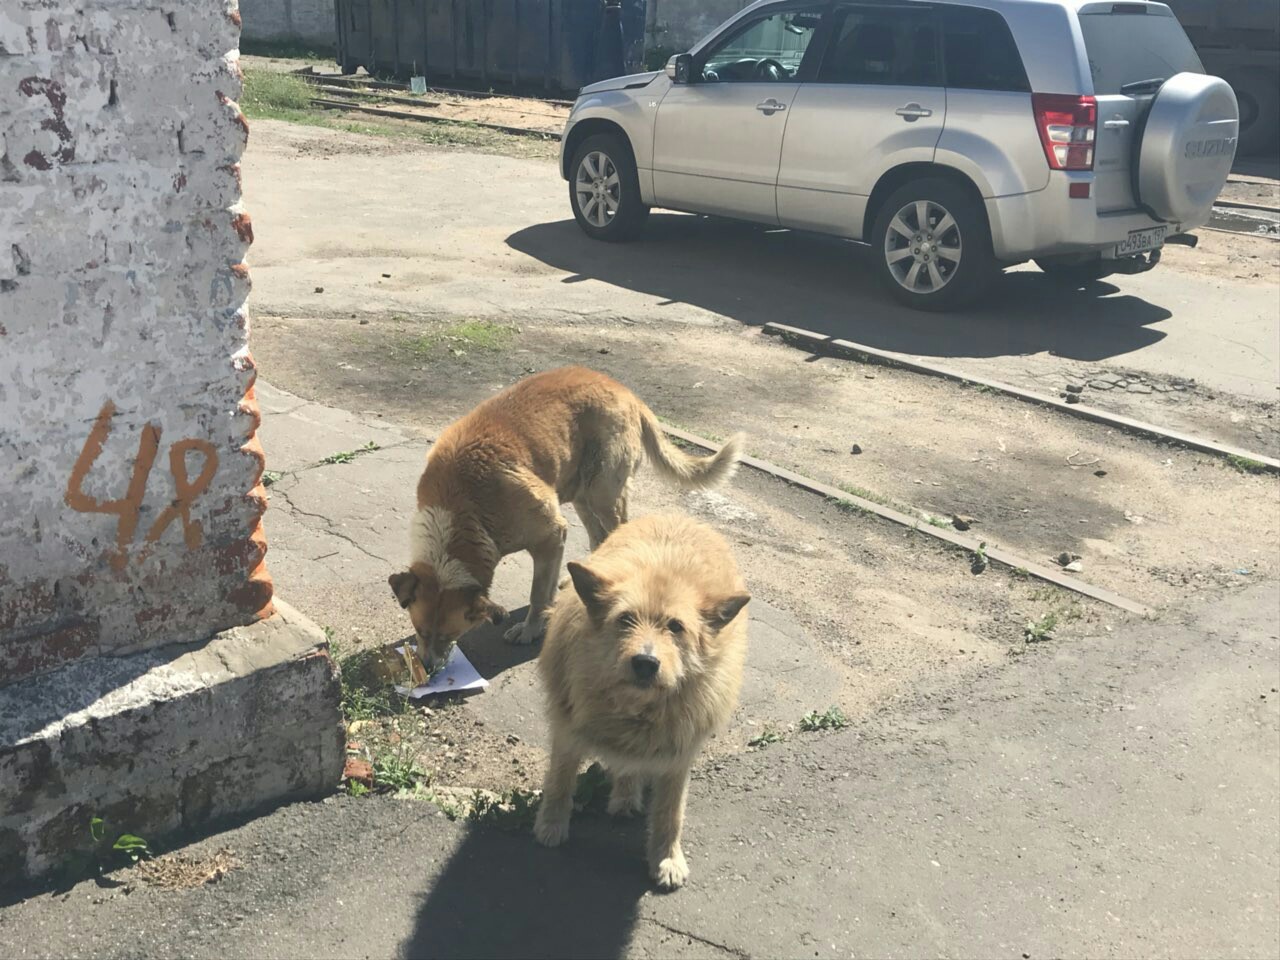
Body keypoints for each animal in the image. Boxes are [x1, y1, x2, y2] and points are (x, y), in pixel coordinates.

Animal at [384, 363, 742, 670]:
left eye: (449, 635)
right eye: (419, 630)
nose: (428, 667)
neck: (462, 508)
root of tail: (627, 392)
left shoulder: (551, 534)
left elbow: (537, 593)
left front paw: (531, 629)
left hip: (603, 493)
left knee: (617, 531)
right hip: (582, 493)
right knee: (599, 537)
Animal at [532, 514, 747, 890]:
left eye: (676, 627)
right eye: (625, 619)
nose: (646, 662)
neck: (635, 706)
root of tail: (680, 515)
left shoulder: (680, 752)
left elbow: (671, 812)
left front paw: (667, 857)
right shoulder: (567, 730)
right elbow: (560, 780)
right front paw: (552, 824)